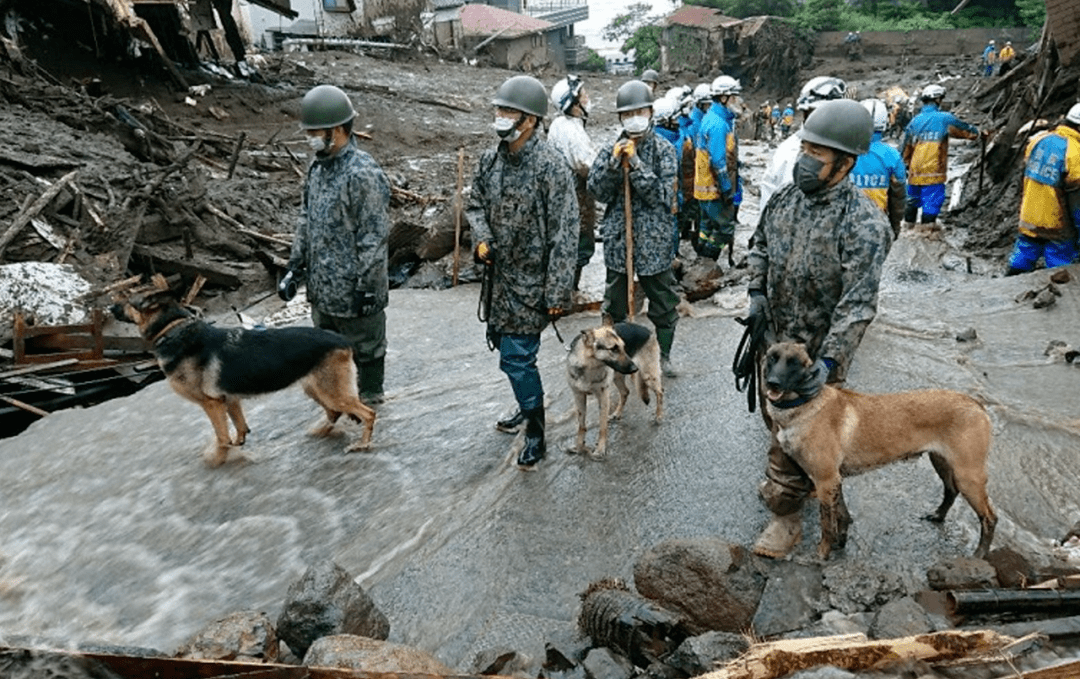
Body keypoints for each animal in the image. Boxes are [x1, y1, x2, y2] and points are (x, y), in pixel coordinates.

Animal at [113, 291, 375, 466]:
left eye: (129, 300)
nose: (109, 307)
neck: (172, 329)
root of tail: (342, 340)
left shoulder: (211, 404)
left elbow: (221, 437)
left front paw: (218, 459)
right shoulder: (230, 400)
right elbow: (238, 427)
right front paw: (238, 443)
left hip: (332, 392)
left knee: (368, 413)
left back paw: (362, 444)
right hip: (315, 389)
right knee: (335, 412)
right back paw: (321, 431)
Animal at [565, 319, 665, 457]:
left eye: (623, 347)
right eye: (613, 349)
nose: (635, 369)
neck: (589, 366)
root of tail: (647, 330)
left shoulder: (603, 397)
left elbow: (602, 425)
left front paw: (600, 449)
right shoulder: (579, 396)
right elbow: (581, 426)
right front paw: (579, 447)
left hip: (648, 375)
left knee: (660, 392)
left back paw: (659, 416)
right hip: (617, 377)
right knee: (625, 392)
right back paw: (617, 413)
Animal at [760, 341, 993, 557]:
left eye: (794, 363)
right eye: (772, 358)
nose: (773, 382)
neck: (803, 405)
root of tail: (975, 404)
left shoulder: (826, 481)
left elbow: (826, 523)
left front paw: (822, 553)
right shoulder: (835, 481)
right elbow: (842, 515)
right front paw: (840, 541)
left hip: (968, 476)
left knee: (989, 518)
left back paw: (980, 553)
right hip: (942, 462)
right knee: (951, 491)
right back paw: (938, 516)